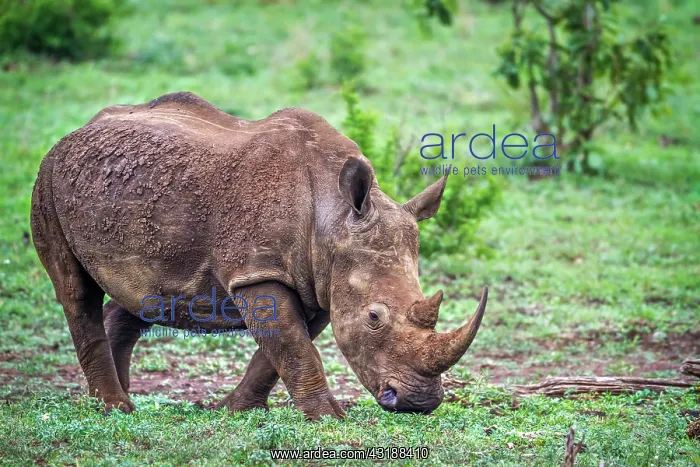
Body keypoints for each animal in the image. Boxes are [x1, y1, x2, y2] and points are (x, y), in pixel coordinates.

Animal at [30, 92, 488, 420]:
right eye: (374, 318)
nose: (418, 403)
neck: (333, 215)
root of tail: (77, 131)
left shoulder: (318, 279)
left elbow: (284, 349)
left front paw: (234, 411)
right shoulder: (258, 271)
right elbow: (294, 346)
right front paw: (329, 419)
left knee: (146, 294)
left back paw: (119, 402)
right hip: (48, 180)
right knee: (75, 292)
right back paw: (115, 408)